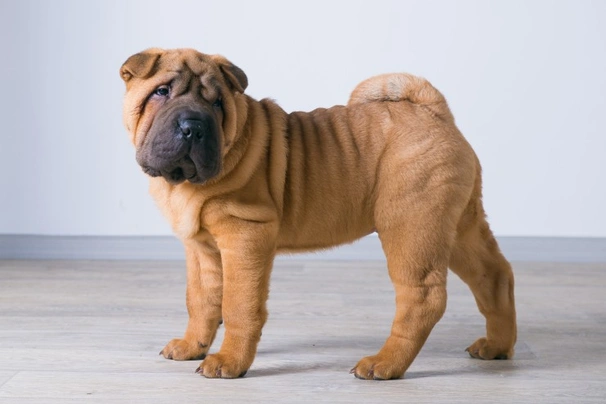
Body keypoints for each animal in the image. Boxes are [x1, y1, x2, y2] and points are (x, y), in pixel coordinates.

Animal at [120, 49, 516, 380]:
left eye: (218, 104)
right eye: (161, 92)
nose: (193, 126)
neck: (184, 183)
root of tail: (432, 111)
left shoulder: (244, 235)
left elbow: (238, 305)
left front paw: (228, 362)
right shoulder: (201, 248)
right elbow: (201, 300)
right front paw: (191, 347)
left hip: (411, 227)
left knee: (422, 298)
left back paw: (384, 364)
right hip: (459, 226)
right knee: (494, 275)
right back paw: (497, 346)